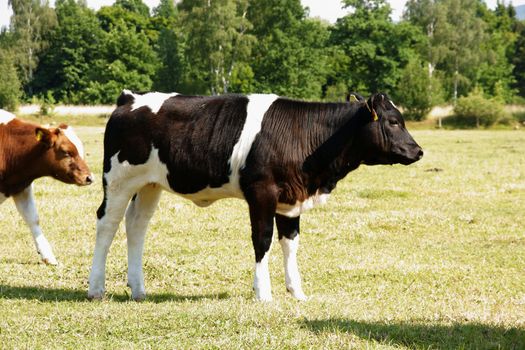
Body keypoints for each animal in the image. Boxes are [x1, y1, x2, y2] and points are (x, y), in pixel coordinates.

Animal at [87, 90, 422, 300]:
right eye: (393, 122)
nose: (418, 151)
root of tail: (130, 98)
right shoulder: (262, 191)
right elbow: (262, 239)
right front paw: (263, 292)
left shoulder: (291, 198)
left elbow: (290, 244)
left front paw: (297, 292)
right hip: (117, 179)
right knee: (106, 225)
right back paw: (96, 289)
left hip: (149, 185)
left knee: (136, 226)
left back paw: (138, 289)